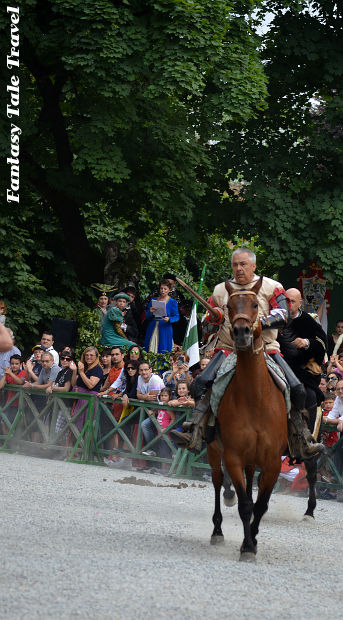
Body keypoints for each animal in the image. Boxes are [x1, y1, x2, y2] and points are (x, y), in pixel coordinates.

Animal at [207, 278, 290, 560]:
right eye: (228, 307)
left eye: (255, 304)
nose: (242, 332)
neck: (255, 400)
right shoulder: (232, 456)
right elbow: (244, 504)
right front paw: (247, 546)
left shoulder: (273, 462)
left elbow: (260, 505)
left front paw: (252, 539)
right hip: (214, 450)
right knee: (217, 483)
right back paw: (217, 531)